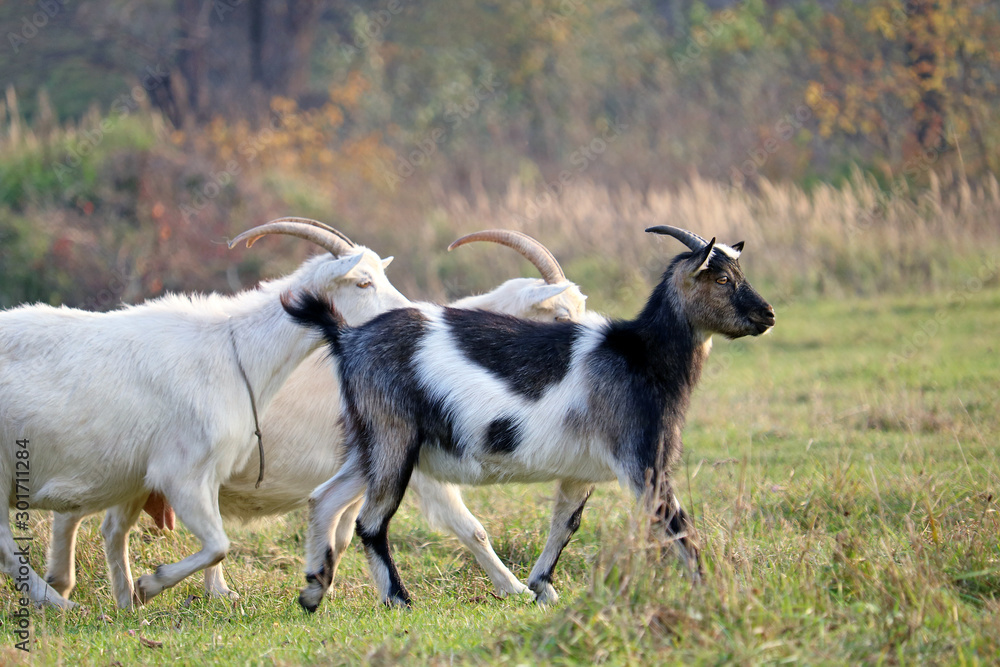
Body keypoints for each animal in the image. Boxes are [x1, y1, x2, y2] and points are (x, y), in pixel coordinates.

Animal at [0, 219, 409, 608]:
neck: (234, 351)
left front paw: (138, 597)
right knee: (10, 542)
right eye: (363, 282)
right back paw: (60, 602)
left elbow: (211, 543)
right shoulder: (182, 472)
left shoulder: (202, 473)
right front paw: (151, 585)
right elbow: (218, 545)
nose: (405, 316)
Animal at [41, 228, 588, 607]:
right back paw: (70, 587)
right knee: (76, 514)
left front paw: (328, 579)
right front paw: (518, 589)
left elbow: (342, 528)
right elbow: (469, 527)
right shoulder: (409, 458)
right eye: (560, 316)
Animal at [284, 225, 775, 609]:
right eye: (723, 278)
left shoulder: (582, 472)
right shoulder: (643, 462)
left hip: (367, 443)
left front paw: (541, 586)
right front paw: (710, 587)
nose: (767, 314)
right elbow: (677, 527)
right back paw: (397, 598)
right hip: (394, 438)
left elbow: (566, 523)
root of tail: (348, 337)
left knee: (325, 498)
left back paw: (313, 591)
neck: (639, 355)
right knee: (371, 520)